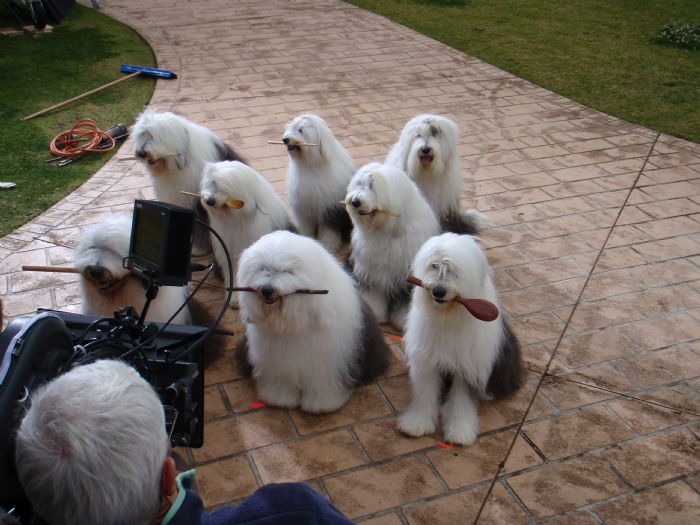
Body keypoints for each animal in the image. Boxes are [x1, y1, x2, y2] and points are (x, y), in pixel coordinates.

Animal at [235, 231, 388, 412]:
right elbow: (281, 383)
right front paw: (279, 398)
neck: (293, 322)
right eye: (262, 268)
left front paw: (321, 404)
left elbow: (322, 385)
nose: (267, 290)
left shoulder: (327, 363)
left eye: (288, 271)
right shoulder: (277, 363)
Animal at [280, 113, 352, 253]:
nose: (285, 139)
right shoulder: (303, 206)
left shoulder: (329, 208)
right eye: (291, 127)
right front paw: (304, 239)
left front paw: (328, 246)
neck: (311, 164)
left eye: (301, 130)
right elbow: (306, 226)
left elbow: (329, 231)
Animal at [396, 233, 524, 442]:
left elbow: (461, 400)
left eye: (455, 270)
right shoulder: (427, 360)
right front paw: (417, 423)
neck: (448, 315)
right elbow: (425, 392)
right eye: (434, 265)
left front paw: (459, 431)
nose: (438, 291)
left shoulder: (468, 365)